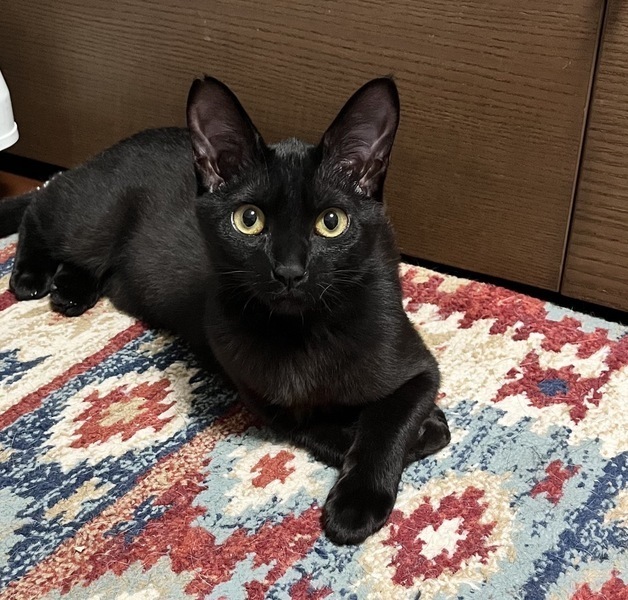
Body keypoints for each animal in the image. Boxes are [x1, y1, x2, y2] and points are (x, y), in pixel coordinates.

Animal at [0, 75, 451, 544]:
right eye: (248, 219)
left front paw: (360, 497)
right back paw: (31, 275)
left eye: (331, 222)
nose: (289, 271)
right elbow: (334, 429)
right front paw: (422, 437)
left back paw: (70, 289)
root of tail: (114, 147)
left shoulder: (418, 369)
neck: (300, 332)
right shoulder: (267, 402)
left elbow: (385, 425)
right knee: (41, 202)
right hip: (94, 220)